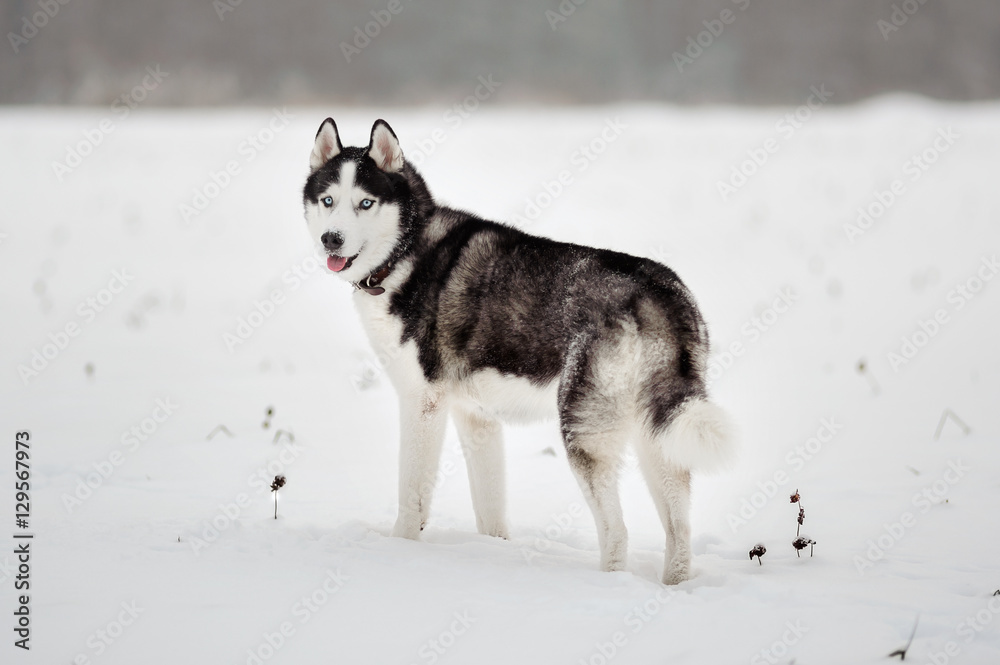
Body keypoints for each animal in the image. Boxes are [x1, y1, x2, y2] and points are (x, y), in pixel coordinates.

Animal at [302, 118, 736, 580]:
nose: (332, 239)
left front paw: (399, 549)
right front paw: (493, 551)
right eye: (328, 200)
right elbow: (490, 510)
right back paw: (674, 584)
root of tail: (657, 291)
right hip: (658, 433)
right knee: (679, 529)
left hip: (583, 431)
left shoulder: (424, 404)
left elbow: (412, 494)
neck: (405, 253)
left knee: (617, 531)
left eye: (365, 203)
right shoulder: (476, 417)